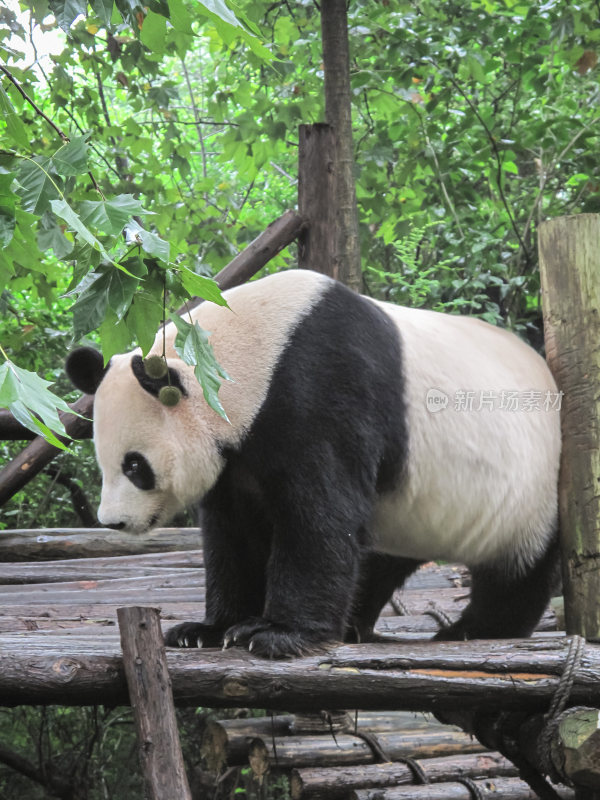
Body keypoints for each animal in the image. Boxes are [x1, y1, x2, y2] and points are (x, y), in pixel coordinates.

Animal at [67, 268, 564, 656]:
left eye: (135, 466)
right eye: (104, 464)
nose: (114, 522)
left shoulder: (324, 389)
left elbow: (319, 516)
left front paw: (275, 635)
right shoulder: (238, 455)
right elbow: (234, 533)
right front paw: (206, 630)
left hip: (534, 483)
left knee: (520, 568)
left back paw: (473, 630)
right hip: (409, 509)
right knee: (376, 556)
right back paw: (354, 622)